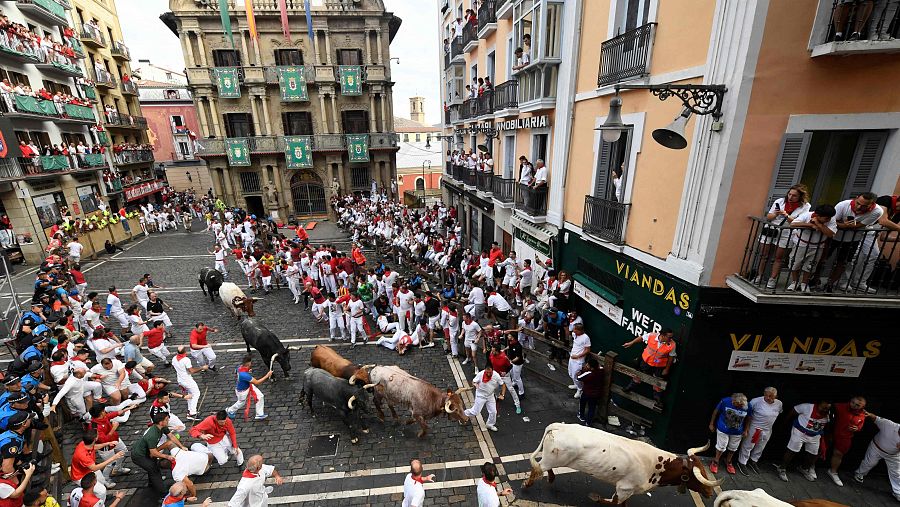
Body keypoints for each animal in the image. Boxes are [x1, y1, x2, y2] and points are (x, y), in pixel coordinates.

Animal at [520, 424, 724, 504]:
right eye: (698, 476)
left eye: (704, 469)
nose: (709, 493)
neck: (658, 467)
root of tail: (558, 426)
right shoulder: (624, 488)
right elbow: (613, 503)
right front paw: (595, 497)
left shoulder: (628, 491)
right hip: (550, 458)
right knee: (537, 469)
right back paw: (526, 485)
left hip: (553, 458)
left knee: (542, 468)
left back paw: (551, 478)